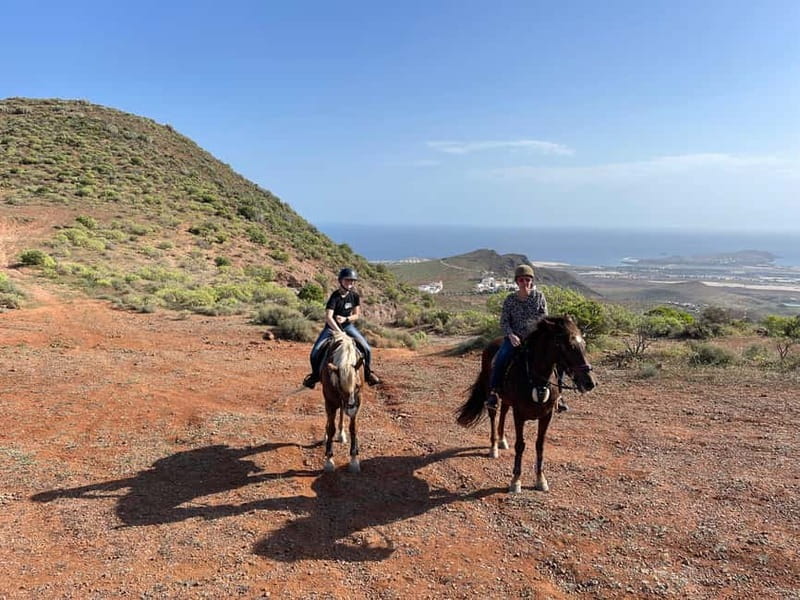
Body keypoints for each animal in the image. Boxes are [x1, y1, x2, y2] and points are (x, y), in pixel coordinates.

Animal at [321, 331, 365, 473]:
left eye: (357, 386)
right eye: (340, 387)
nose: (351, 410)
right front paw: (329, 460)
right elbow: (331, 428)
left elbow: (353, 428)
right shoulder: (330, 401)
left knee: (341, 412)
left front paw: (354, 459)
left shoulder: (358, 402)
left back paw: (341, 434)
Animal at [456, 316, 597, 493]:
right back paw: (494, 447)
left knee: (504, 412)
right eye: (569, 346)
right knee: (494, 415)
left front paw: (541, 480)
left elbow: (540, 445)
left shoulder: (547, 415)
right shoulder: (519, 414)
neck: (537, 380)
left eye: (583, 344)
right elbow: (520, 445)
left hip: (507, 398)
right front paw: (516, 481)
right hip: (491, 395)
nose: (590, 382)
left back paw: (502, 440)